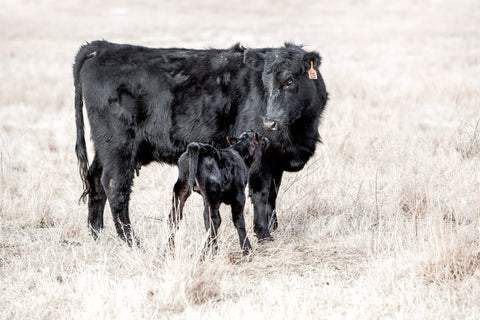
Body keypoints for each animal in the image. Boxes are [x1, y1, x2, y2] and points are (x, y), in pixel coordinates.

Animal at [75, 40, 328, 245]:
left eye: (289, 81)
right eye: (265, 82)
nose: (269, 122)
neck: (301, 129)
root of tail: (104, 47)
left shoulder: (277, 159)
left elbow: (273, 195)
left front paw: (274, 228)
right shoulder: (261, 158)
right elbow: (261, 193)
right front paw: (264, 235)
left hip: (104, 147)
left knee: (95, 180)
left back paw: (96, 234)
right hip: (118, 146)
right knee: (115, 186)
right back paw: (130, 240)